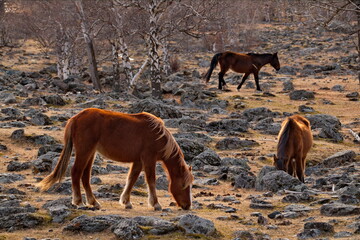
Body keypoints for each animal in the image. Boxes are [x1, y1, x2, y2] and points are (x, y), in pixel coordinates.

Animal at [39, 108, 194, 210]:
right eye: (183, 185)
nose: (187, 206)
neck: (157, 135)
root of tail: (76, 118)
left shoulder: (138, 161)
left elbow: (131, 179)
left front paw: (126, 202)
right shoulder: (149, 159)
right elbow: (151, 180)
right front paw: (155, 204)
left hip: (90, 153)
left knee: (85, 176)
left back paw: (93, 202)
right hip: (84, 152)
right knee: (76, 173)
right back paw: (78, 201)